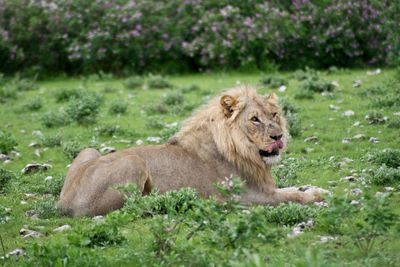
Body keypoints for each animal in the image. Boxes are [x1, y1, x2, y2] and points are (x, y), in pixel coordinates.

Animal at [58, 86, 328, 218]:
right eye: (254, 119)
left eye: (274, 115)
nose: (278, 136)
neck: (245, 151)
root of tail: (63, 204)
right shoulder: (246, 198)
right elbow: (291, 196)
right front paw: (316, 195)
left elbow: (292, 188)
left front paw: (315, 188)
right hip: (133, 160)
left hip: (89, 150)